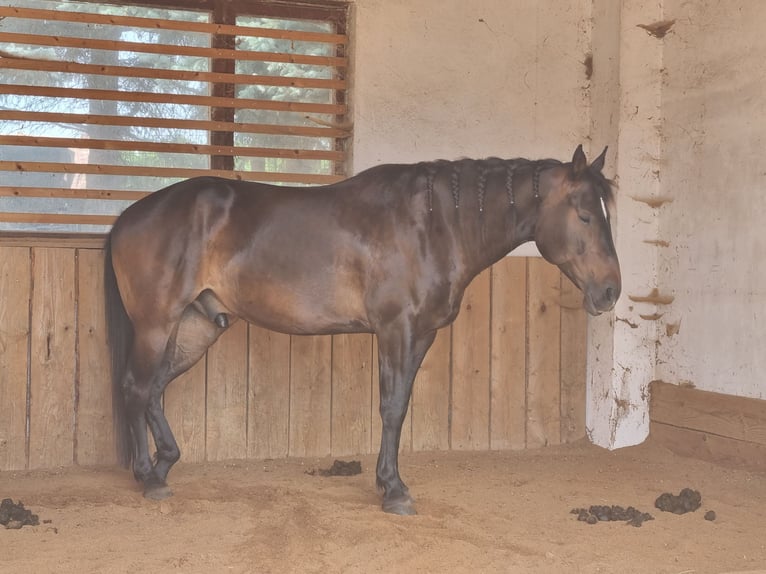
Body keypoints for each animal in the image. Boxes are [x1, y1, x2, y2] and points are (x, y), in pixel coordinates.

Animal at [105, 144, 620, 516]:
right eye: (584, 215)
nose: (611, 291)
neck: (433, 225)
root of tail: (130, 215)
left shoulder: (421, 335)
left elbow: (400, 406)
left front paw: (387, 482)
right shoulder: (396, 331)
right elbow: (392, 409)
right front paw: (393, 490)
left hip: (195, 327)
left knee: (153, 389)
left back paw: (164, 464)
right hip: (156, 324)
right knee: (136, 387)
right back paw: (148, 478)